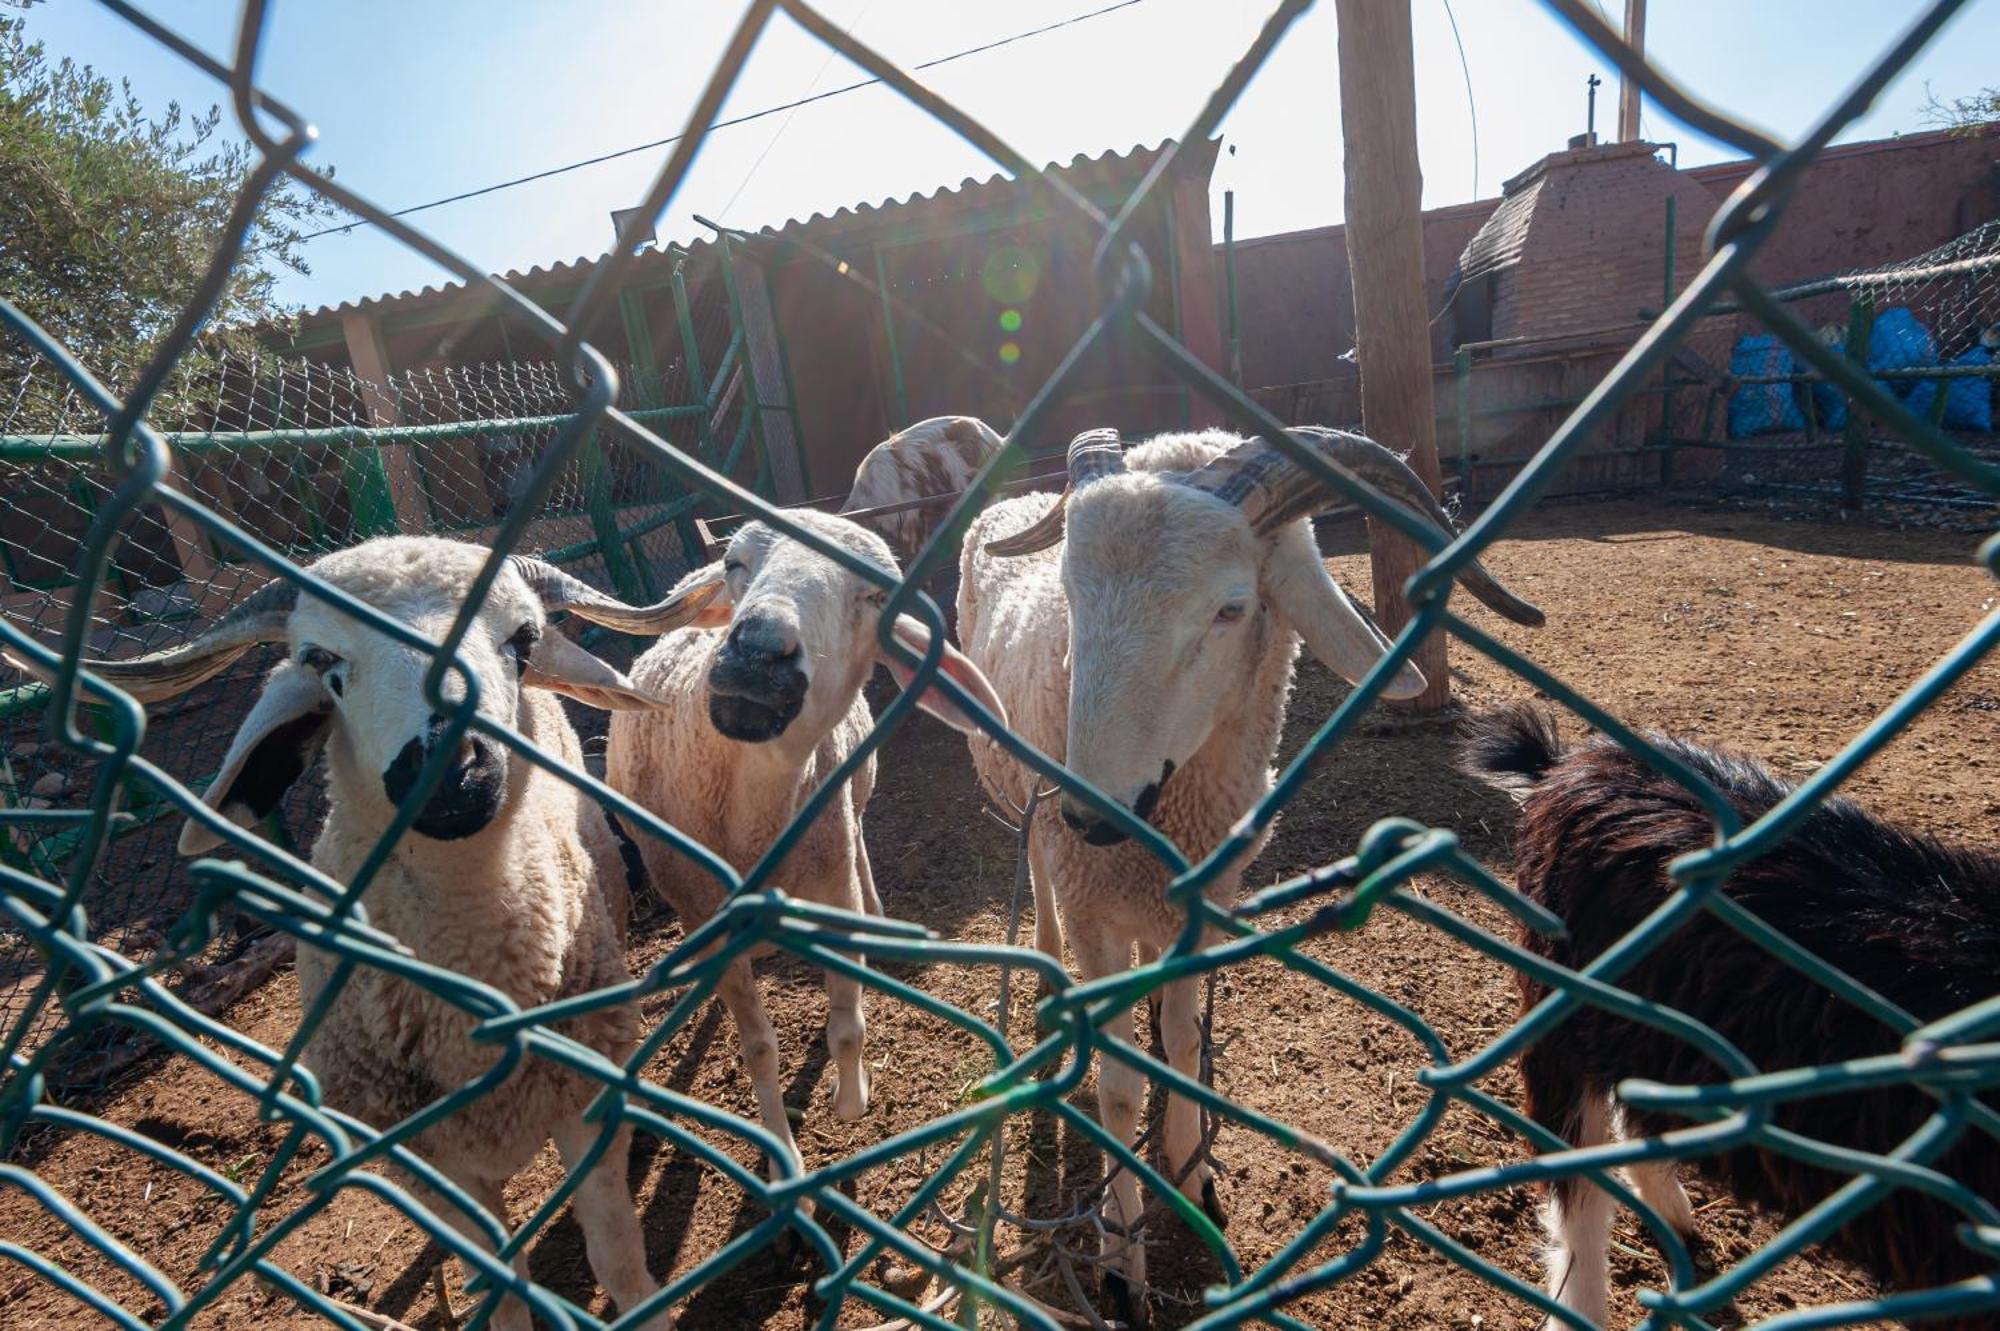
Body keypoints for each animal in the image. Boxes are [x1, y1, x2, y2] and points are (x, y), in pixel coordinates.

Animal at [58, 535, 704, 1327]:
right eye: (321, 661)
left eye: (522, 640)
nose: (451, 772)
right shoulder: (424, 1159)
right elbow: (500, 1284)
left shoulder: (578, 1100)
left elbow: (616, 1257)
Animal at [592, 509, 1000, 1191]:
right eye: (735, 563)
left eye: (875, 596)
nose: (758, 654)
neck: (752, 820)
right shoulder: (709, 913)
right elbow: (759, 1047)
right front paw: (783, 1154)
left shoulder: (832, 880)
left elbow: (848, 1025)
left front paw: (851, 1097)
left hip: (855, 799)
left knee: (860, 841)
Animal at [960, 425, 1552, 1319]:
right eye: (1069, 597)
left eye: (1231, 607)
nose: (1091, 814)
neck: (1166, 817)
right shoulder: (1096, 903)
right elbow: (1120, 1088)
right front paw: (1121, 1264)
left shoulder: (1200, 900)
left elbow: (1178, 1045)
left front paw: (1190, 1179)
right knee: (1034, 867)